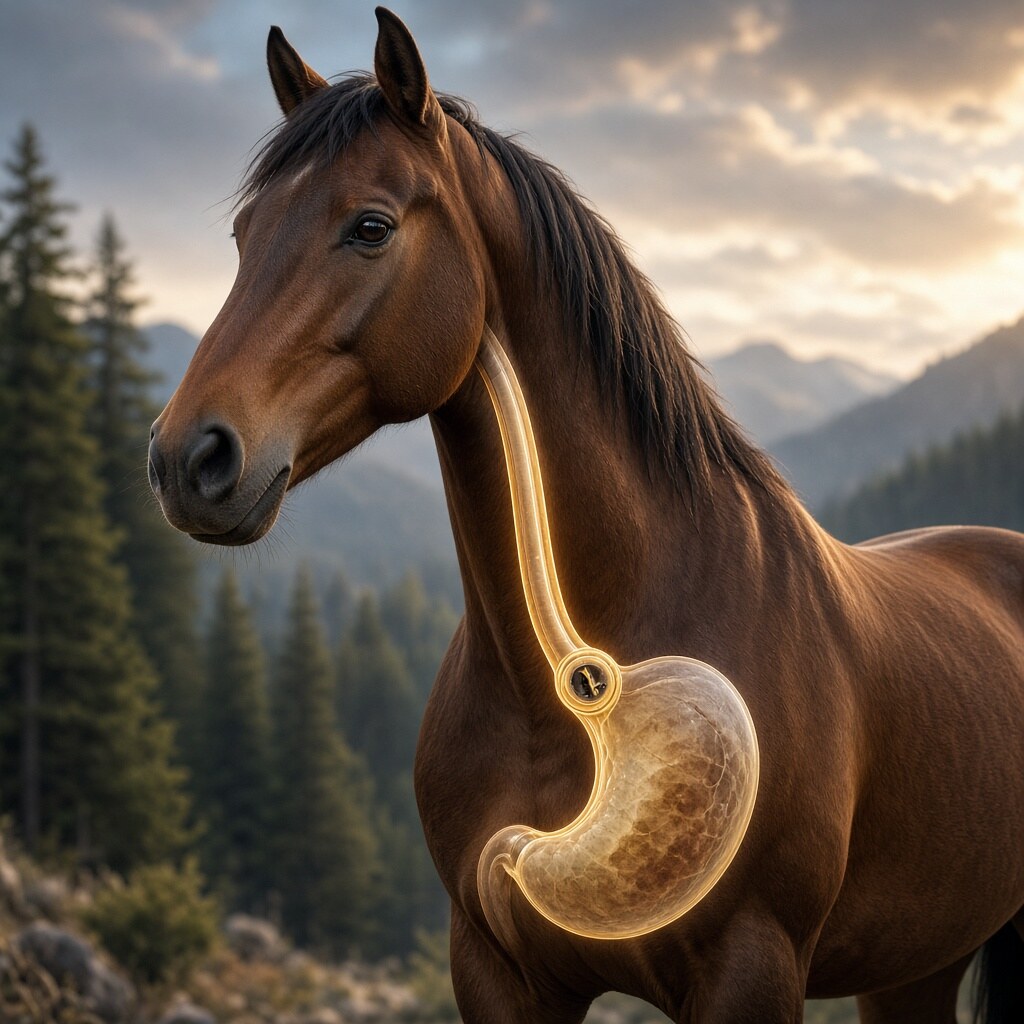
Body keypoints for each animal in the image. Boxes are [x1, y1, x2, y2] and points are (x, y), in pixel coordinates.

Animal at [148, 10, 1024, 1022]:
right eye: (244, 232)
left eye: (369, 226)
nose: (187, 458)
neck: (573, 689)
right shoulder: (495, 970)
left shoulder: (751, 966)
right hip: (915, 963)